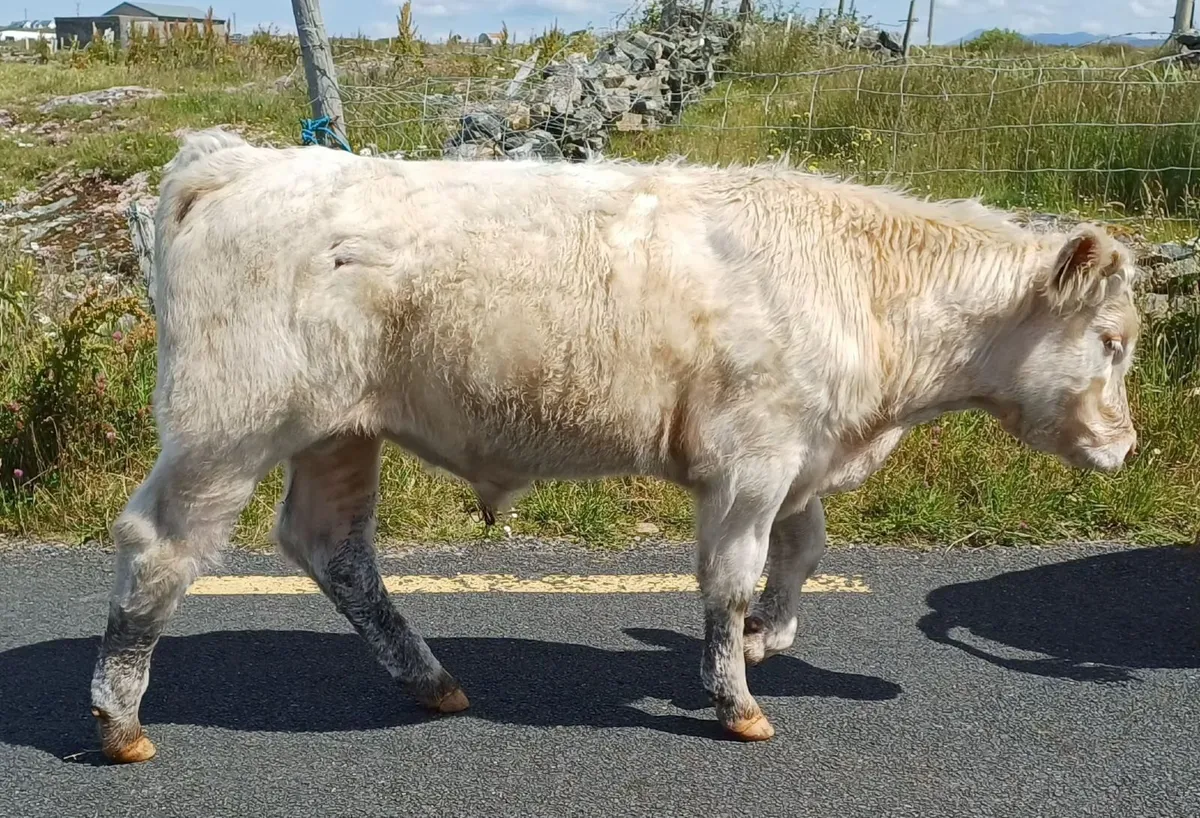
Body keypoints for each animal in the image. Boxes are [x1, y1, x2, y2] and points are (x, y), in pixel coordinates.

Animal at [89, 128, 1140, 763]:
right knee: (159, 545)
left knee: (332, 549)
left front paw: (768, 639)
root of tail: (240, 160)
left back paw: (430, 681)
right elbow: (732, 577)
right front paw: (736, 698)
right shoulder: (751, 461)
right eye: (1112, 340)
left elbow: (804, 552)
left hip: (339, 434)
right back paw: (121, 715)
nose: (1126, 449)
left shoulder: (799, 458)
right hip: (227, 428)